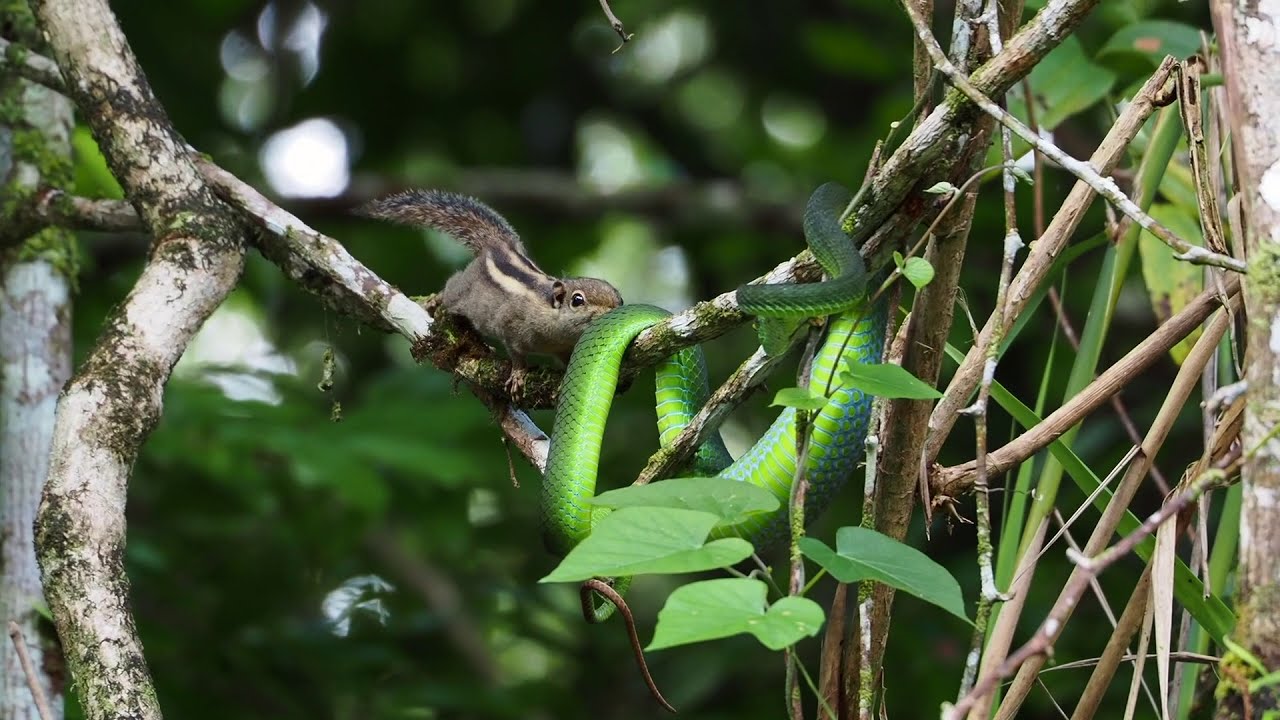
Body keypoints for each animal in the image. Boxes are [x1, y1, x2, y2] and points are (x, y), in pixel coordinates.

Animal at [357, 189, 624, 396]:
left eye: (619, 299)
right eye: (577, 300)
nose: (614, 313)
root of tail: (497, 246)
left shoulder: (562, 348)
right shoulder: (512, 327)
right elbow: (516, 353)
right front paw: (518, 374)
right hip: (461, 291)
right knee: (451, 287)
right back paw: (434, 300)